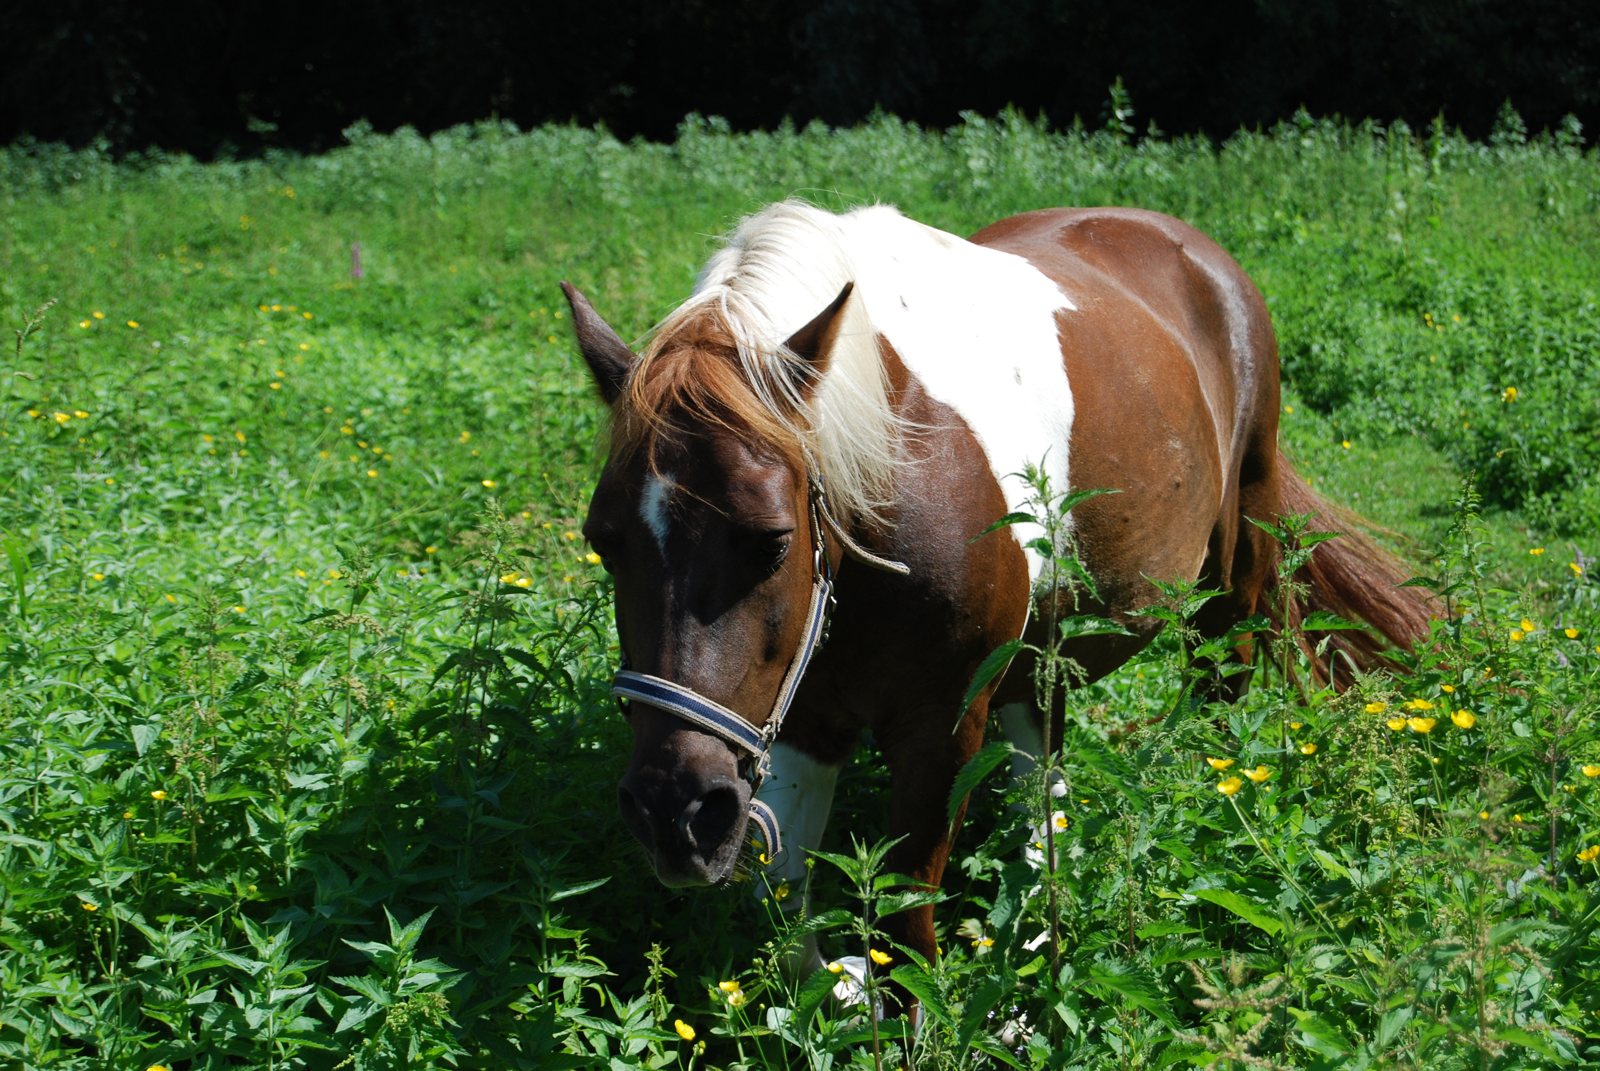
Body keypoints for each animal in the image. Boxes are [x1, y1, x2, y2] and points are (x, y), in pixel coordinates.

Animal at [562, 200, 1433, 997]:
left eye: (773, 541)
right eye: (604, 541)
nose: (675, 814)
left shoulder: (941, 730)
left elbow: (906, 931)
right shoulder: (803, 715)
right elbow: (788, 918)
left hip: (1233, 564)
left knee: (1222, 685)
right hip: (1038, 654)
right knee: (1041, 779)